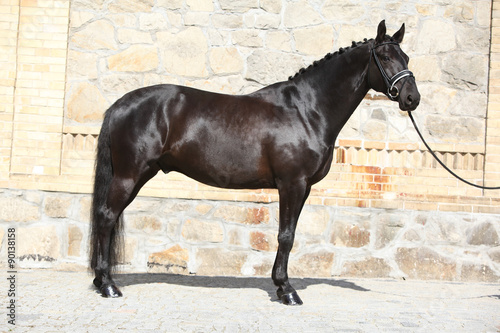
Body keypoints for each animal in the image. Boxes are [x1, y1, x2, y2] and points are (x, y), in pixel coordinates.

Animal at [89, 20, 418, 304]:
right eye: (385, 57)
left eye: (406, 56)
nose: (411, 98)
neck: (307, 110)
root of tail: (119, 105)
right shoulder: (292, 184)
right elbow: (286, 236)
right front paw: (287, 290)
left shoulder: (304, 188)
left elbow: (290, 233)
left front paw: (281, 285)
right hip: (130, 175)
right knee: (106, 217)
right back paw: (108, 285)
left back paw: (101, 281)